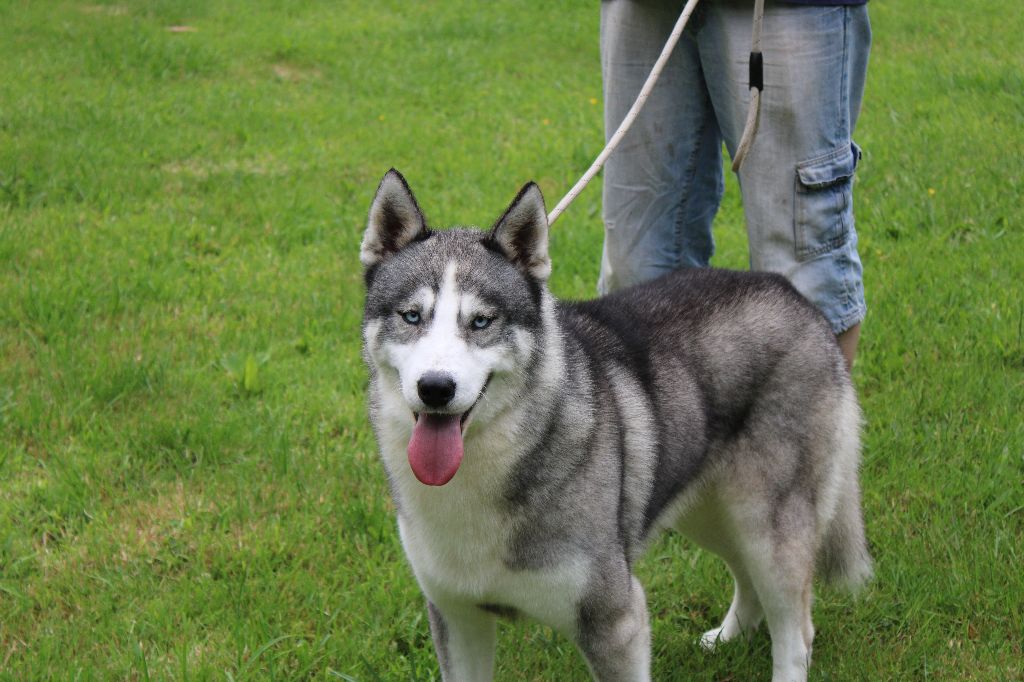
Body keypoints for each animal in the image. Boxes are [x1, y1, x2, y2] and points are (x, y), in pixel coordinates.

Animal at [362, 169, 872, 679]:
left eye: (482, 322)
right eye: (412, 316)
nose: (435, 388)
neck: (475, 477)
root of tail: (794, 295)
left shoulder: (614, 618)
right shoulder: (456, 615)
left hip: (770, 526)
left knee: (796, 632)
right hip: (709, 511)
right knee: (745, 573)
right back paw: (727, 636)